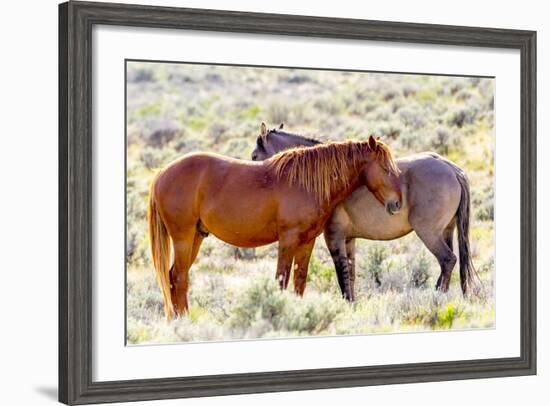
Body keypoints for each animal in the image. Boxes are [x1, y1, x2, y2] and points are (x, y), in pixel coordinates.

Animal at [149, 123, 404, 320]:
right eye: (385, 167)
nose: (397, 204)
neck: (305, 182)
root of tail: (162, 173)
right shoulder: (288, 239)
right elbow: (282, 280)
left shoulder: (307, 241)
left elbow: (300, 281)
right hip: (182, 237)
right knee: (179, 277)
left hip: (196, 237)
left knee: (175, 278)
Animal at [253, 122, 478, 300]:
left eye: (254, 156)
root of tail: (452, 169)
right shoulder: (348, 239)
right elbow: (351, 276)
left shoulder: (333, 236)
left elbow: (342, 275)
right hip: (446, 231)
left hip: (429, 233)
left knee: (447, 260)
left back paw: (436, 297)